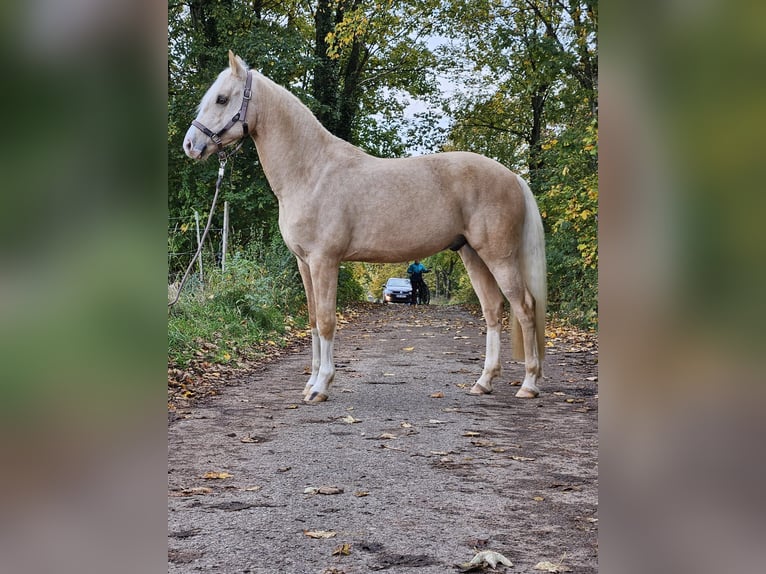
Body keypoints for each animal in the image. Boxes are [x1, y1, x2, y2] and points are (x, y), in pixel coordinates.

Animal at [184, 53, 548, 404]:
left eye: (221, 98)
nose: (190, 145)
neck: (312, 172)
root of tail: (513, 176)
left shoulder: (324, 261)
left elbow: (327, 321)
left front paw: (321, 386)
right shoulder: (304, 263)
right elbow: (313, 320)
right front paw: (310, 383)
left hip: (499, 256)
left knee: (524, 308)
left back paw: (529, 383)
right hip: (471, 253)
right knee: (493, 310)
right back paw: (483, 382)